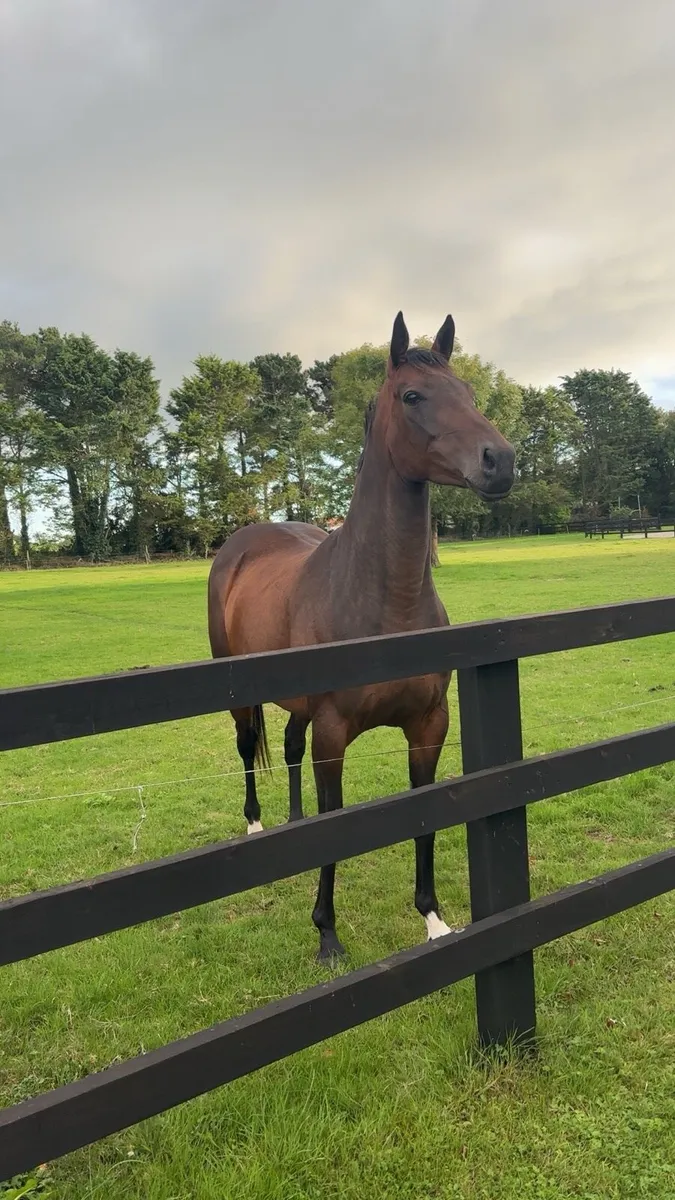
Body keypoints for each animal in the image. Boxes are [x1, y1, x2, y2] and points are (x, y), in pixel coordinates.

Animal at [208, 312, 515, 960]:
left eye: (469, 392)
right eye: (413, 396)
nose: (500, 461)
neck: (385, 606)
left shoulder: (428, 726)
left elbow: (424, 812)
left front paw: (434, 919)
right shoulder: (333, 734)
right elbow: (338, 821)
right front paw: (327, 933)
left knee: (288, 748)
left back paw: (293, 822)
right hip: (240, 695)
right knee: (248, 747)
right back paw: (256, 824)